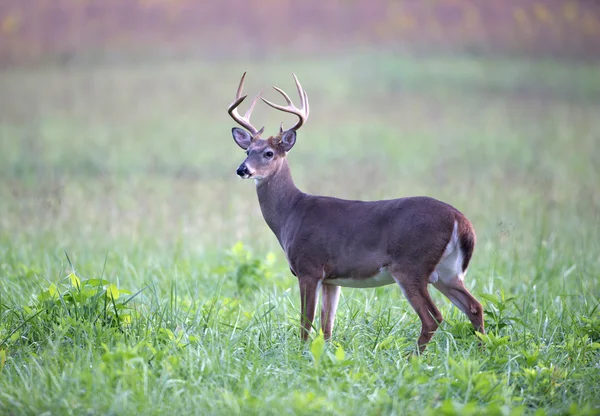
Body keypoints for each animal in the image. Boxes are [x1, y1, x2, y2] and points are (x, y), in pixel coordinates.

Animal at [227, 71, 486, 352]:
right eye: (247, 150)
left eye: (268, 153)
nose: (242, 169)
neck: (291, 214)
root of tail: (460, 220)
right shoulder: (332, 278)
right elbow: (326, 327)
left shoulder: (309, 267)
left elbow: (306, 324)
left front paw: (300, 354)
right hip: (448, 272)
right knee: (474, 306)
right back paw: (483, 350)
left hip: (412, 265)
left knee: (433, 317)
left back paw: (413, 358)